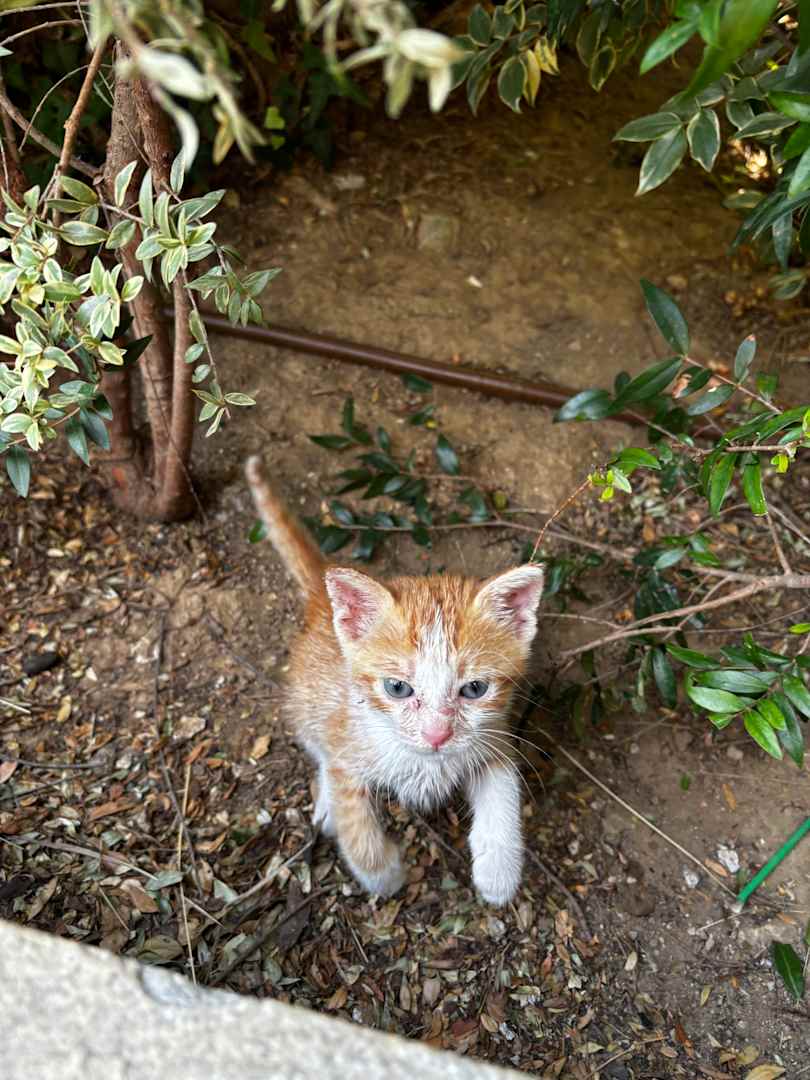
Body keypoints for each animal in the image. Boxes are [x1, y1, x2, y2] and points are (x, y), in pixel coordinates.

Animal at [245, 455, 544, 906]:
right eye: (398, 688)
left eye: (475, 689)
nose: (437, 736)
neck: (426, 764)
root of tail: (322, 601)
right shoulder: (347, 744)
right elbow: (353, 816)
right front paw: (383, 874)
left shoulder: (494, 737)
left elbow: (503, 791)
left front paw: (498, 873)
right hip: (309, 697)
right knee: (317, 745)